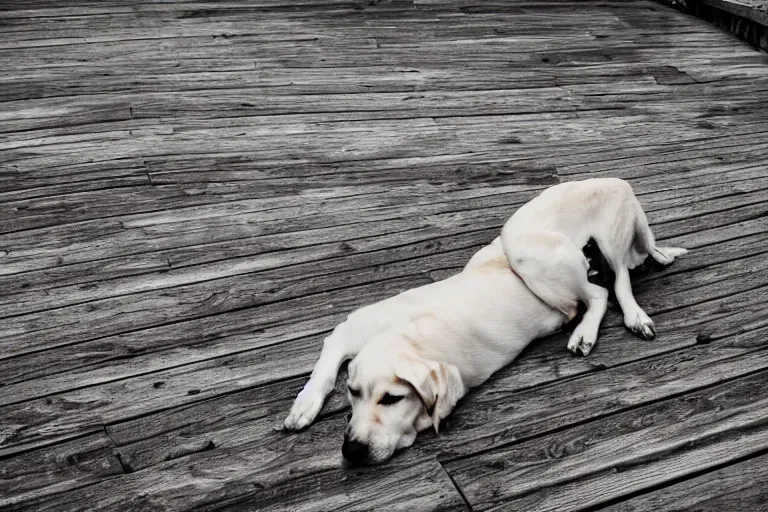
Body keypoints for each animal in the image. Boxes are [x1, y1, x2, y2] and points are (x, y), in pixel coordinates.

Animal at [284, 178, 688, 466]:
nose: (351, 450)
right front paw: (304, 405)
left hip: (553, 244)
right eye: (353, 394)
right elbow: (331, 351)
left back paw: (606, 324)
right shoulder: (360, 325)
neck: (412, 334)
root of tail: (618, 180)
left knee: (612, 286)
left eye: (392, 398)